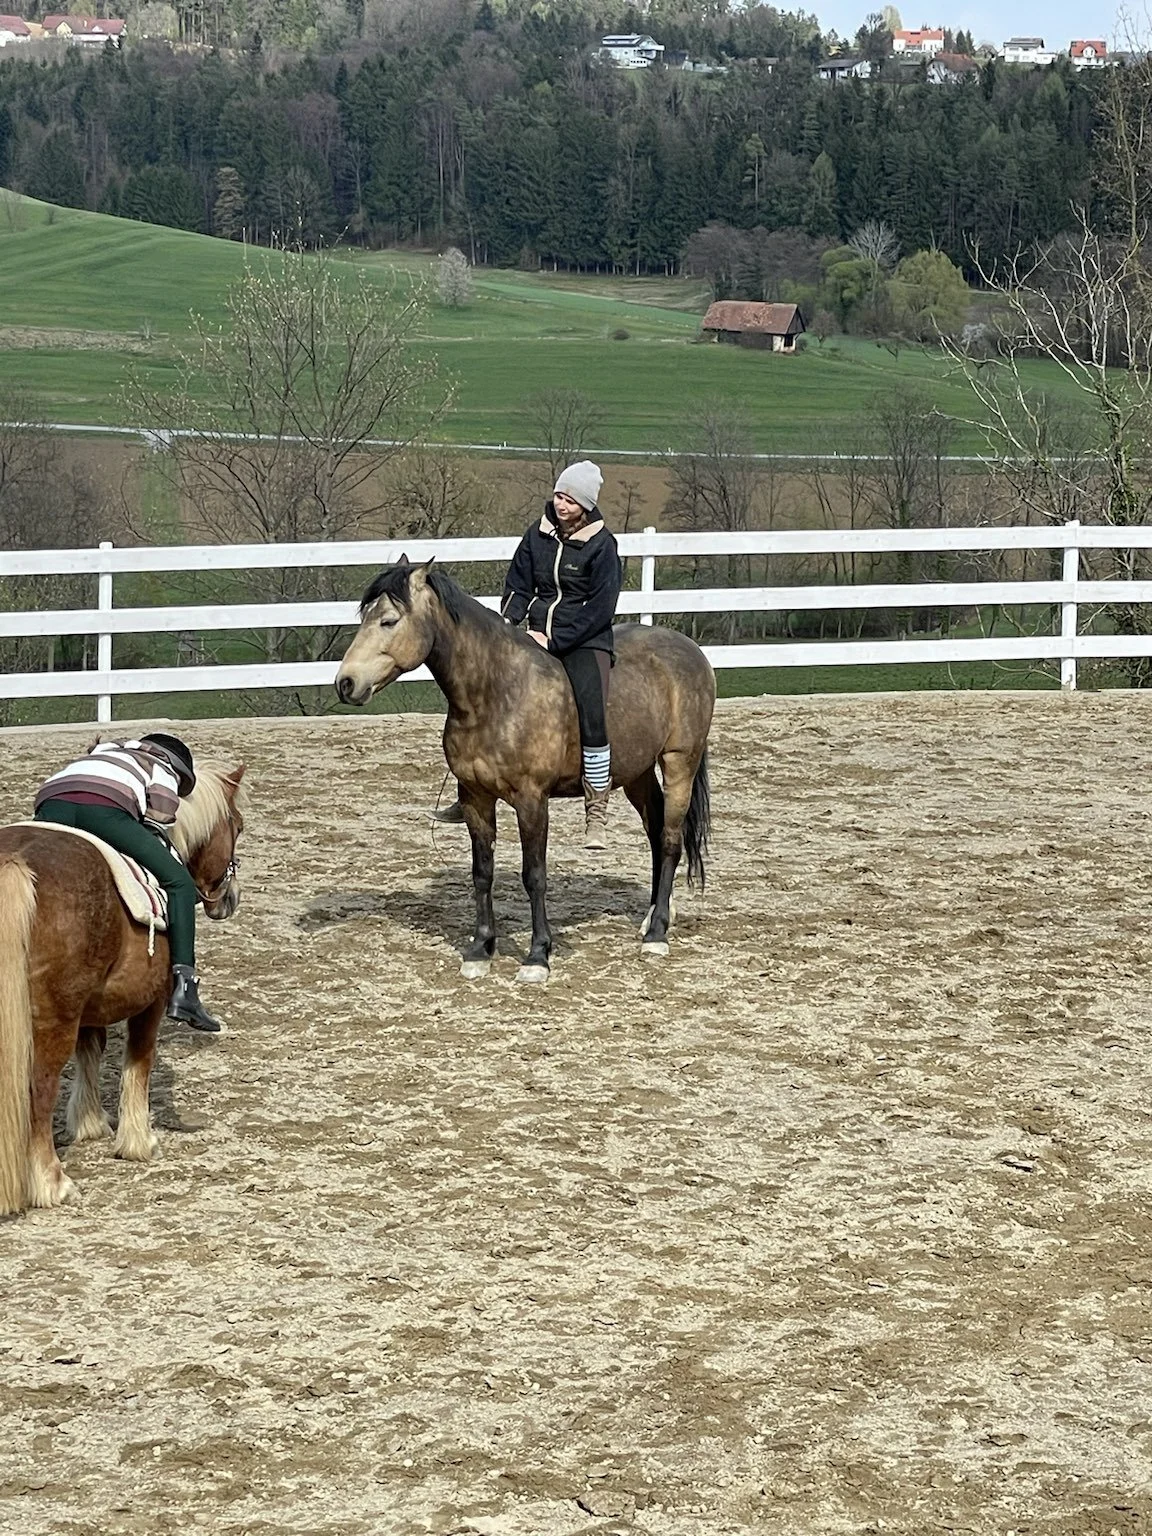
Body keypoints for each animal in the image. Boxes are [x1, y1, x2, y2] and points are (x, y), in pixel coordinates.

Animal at [0, 762, 247, 1214]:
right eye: (236, 826)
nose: (229, 897)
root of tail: (15, 862)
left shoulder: (90, 1004)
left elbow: (91, 1050)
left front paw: (89, 1123)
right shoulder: (151, 1001)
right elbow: (139, 1060)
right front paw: (138, 1140)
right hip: (52, 1020)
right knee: (38, 1089)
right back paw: (51, 1182)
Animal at [335, 561, 714, 983]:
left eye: (389, 620)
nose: (345, 683)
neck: (495, 692)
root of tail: (690, 649)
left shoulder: (532, 801)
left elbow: (534, 875)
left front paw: (537, 956)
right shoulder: (475, 798)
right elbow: (482, 873)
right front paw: (480, 950)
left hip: (680, 762)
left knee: (670, 840)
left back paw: (657, 933)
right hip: (637, 772)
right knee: (655, 832)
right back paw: (652, 917)